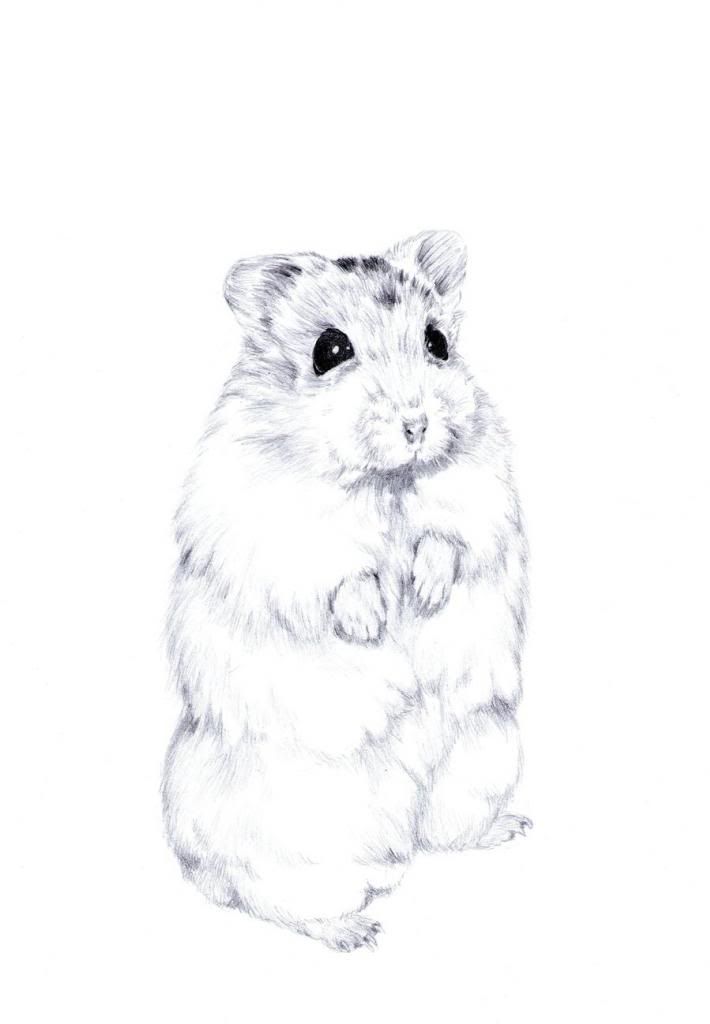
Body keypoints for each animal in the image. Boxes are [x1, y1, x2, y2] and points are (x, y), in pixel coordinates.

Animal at [162, 230, 531, 951]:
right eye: (329, 351)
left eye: (438, 342)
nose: (416, 425)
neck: (385, 479)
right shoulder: (281, 529)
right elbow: (339, 572)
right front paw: (374, 622)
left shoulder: (476, 491)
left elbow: (447, 537)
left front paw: (425, 594)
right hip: (300, 840)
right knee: (269, 898)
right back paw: (356, 933)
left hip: (484, 756)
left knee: (445, 835)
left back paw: (511, 828)